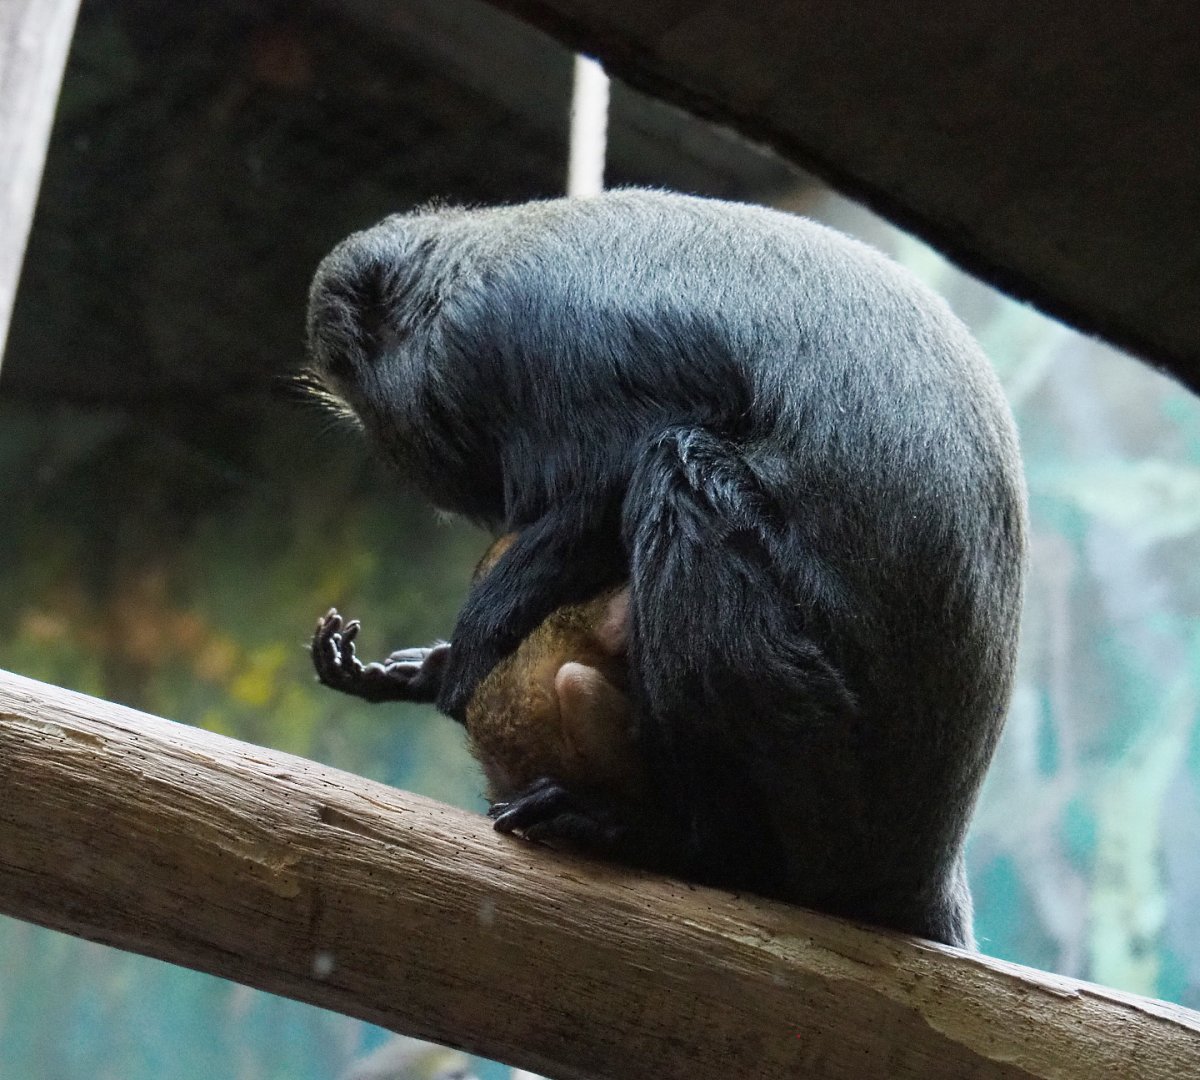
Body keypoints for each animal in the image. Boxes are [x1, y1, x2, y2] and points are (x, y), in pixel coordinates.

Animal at [304, 189, 1027, 948]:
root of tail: (929, 863)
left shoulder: (514, 341)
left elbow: (600, 485)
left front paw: (461, 660)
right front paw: (425, 670)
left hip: (832, 782)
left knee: (674, 466)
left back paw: (674, 845)